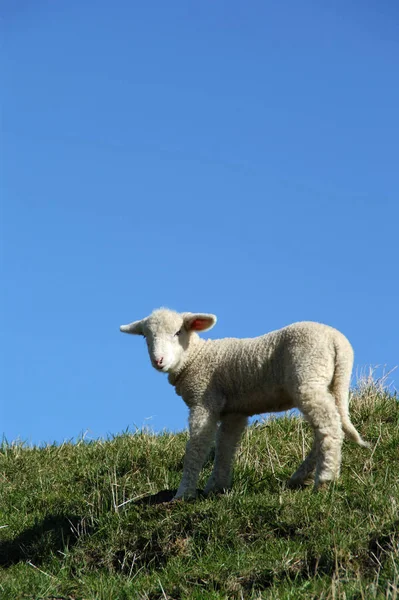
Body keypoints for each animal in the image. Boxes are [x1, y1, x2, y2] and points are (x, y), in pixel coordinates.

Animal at [120, 308, 370, 500]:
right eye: (146, 337)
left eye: (177, 332)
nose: (158, 361)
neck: (196, 357)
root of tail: (337, 341)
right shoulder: (235, 411)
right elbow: (225, 446)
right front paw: (216, 487)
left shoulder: (204, 401)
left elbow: (197, 447)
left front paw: (183, 494)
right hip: (331, 382)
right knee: (333, 424)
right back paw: (301, 477)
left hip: (308, 376)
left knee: (329, 426)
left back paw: (325, 479)